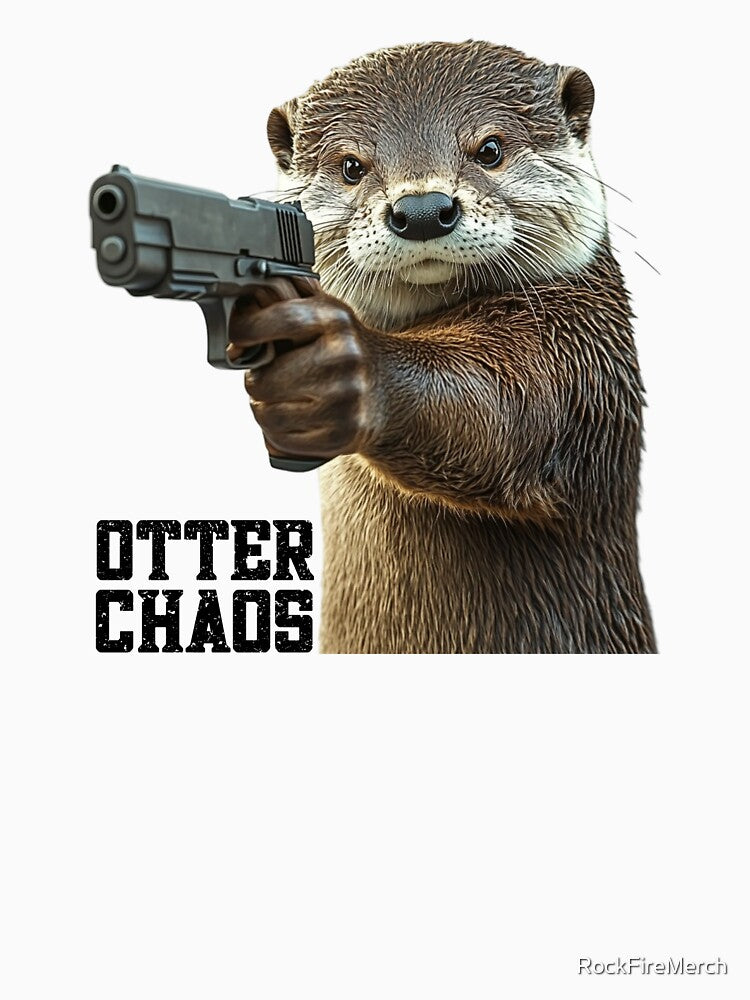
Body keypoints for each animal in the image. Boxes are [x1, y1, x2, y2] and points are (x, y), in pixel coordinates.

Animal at [228, 40, 657, 654]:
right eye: (352, 166)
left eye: (490, 149)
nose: (424, 210)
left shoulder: (577, 357)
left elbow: (500, 412)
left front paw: (343, 372)